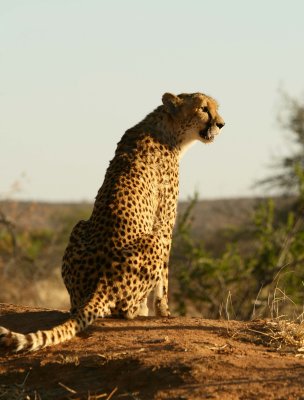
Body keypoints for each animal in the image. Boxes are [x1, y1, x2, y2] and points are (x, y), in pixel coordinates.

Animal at [0, 90, 223, 350]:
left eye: (215, 108)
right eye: (204, 109)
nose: (221, 124)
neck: (167, 128)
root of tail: (101, 284)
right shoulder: (164, 224)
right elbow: (165, 280)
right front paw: (165, 312)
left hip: (79, 227)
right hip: (153, 241)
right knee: (125, 310)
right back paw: (140, 310)